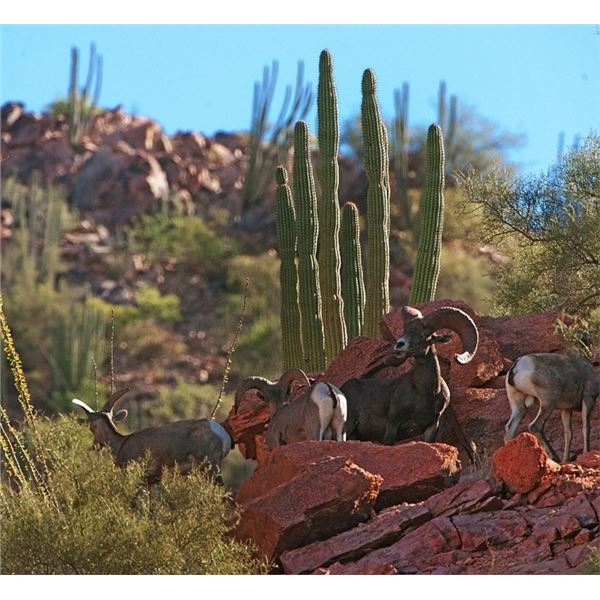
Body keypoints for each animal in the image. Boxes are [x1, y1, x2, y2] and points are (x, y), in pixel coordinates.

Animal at [73, 390, 234, 482]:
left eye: (92, 427)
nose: (94, 446)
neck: (122, 443)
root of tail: (221, 433)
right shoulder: (154, 480)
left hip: (212, 470)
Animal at [342, 304, 478, 450]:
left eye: (424, 335)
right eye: (404, 331)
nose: (399, 345)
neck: (425, 394)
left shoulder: (432, 427)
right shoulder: (392, 426)